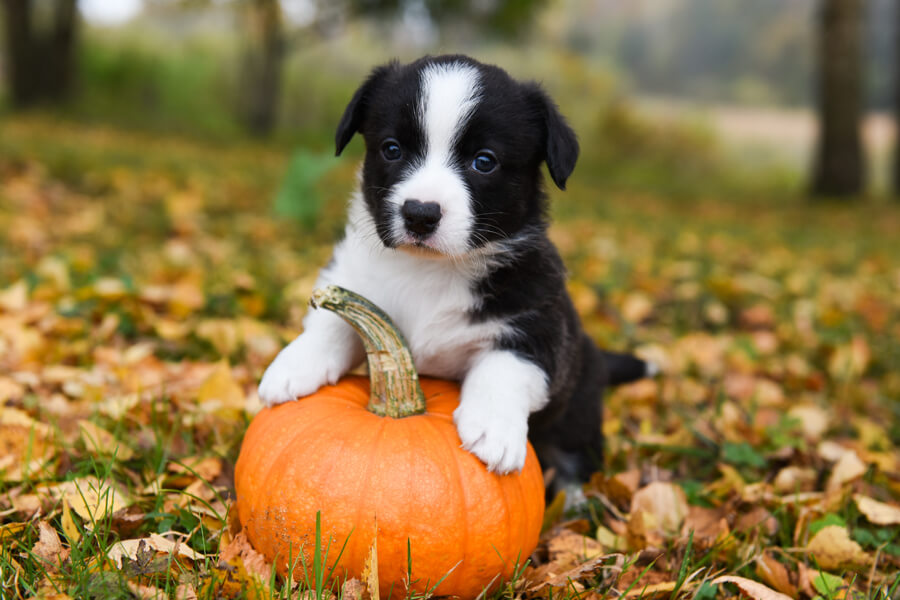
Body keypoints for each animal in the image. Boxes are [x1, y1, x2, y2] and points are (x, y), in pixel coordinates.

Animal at [256, 54, 652, 490]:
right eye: (391, 149)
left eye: (484, 161)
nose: (420, 213)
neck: (430, 271)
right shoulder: (352, 276)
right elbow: (335, 321)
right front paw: (293, 365)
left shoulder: (538, 323)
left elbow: (504, 367)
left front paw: (493, 429)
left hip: (577, 410)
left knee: (575, 458)